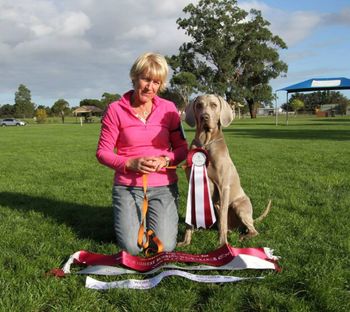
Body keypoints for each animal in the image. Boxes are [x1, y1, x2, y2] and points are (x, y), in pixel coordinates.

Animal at [178, 95, 270, 246]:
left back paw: (243, 236)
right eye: (199, 105)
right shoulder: (192, 185)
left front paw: (222, 244)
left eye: (214, 105)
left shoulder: (223, 187)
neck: (205, 143)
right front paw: (185, 241)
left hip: (238, 205)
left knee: (252, 229)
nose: (204, 117)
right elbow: (189, 220)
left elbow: (222, 220)